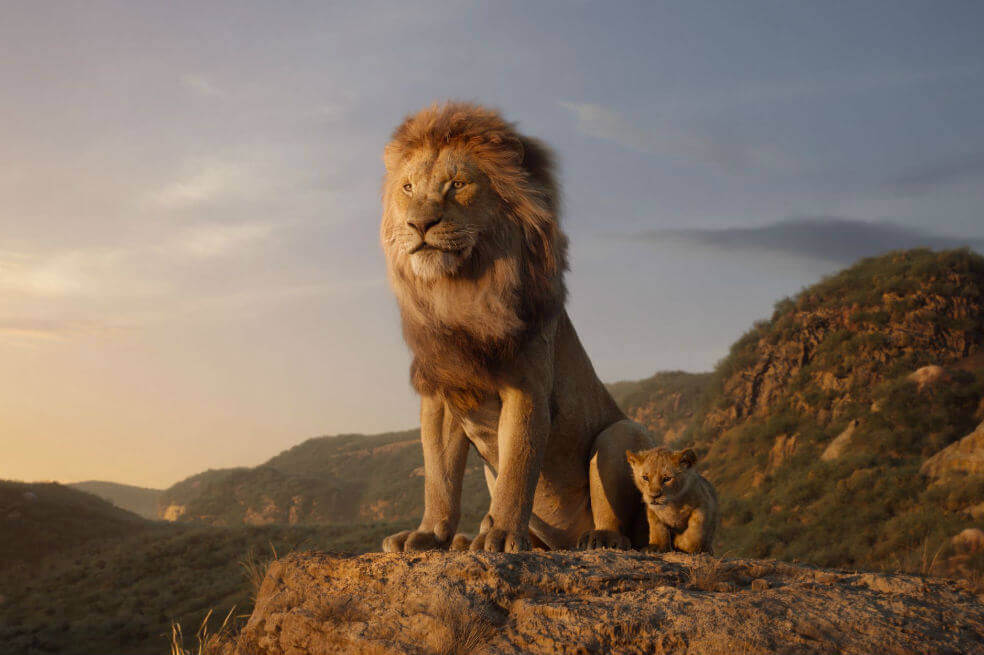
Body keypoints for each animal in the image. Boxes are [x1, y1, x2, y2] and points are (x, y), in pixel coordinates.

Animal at [379, 102, 654, 553]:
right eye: (407, 188)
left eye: (457, 185)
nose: (419, 224)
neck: (460, 291)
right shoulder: (442, 393)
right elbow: (440, 476)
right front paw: (429, 534)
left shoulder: (526, 387)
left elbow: (517, 468)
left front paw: (502, 535)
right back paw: (466, 540)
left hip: (620, 434)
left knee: (624, 526)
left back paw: (598, 538)